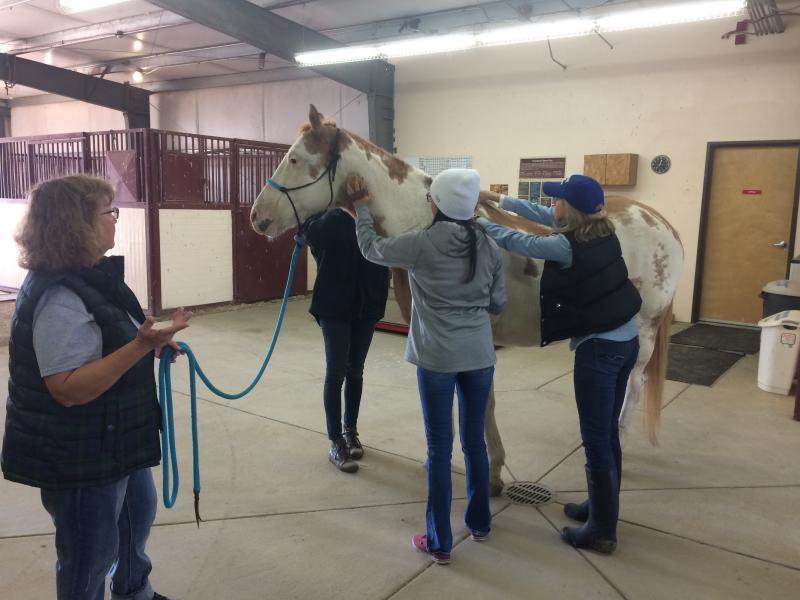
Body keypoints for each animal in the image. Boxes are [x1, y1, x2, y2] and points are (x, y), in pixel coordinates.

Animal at [251, 105, 683, 495]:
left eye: (295, 159)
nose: (257, 217)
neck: (426, 220)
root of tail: (662, 224)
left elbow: (476, 405)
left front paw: (487, 474)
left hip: (643, 332)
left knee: (633, 385)